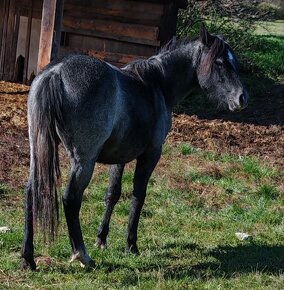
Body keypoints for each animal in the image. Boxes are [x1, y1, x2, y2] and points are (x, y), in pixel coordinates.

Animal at [21, 27, 248, 270]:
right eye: (220, 62)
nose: (242, 98)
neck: (157, 85)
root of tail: (55, 74)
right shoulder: (151, 154)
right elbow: (139, 195)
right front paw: (131, 244)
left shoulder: (120, 156)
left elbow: (113, 193)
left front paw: (102, 238)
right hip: (83, 161)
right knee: (71, 199)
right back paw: (82, 255)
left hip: (39, 150)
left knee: (31, 192)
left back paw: (28, 258)